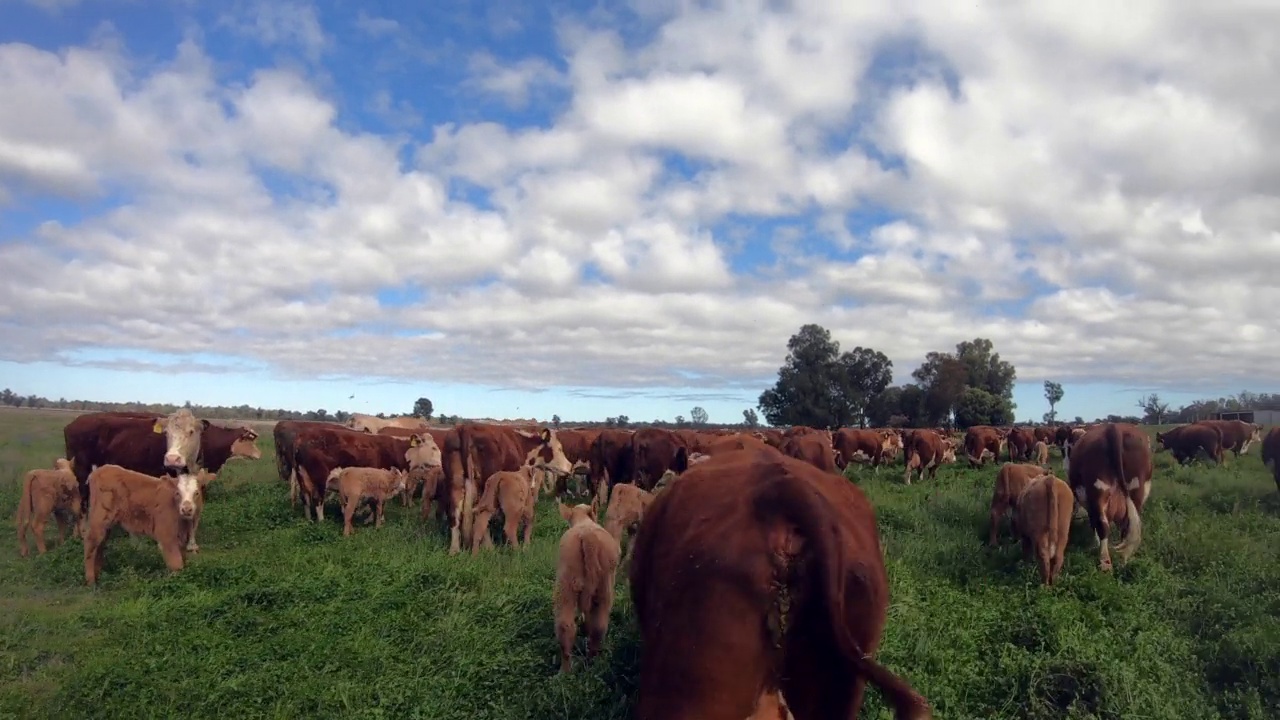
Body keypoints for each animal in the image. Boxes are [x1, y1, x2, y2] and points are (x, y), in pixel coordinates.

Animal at [80, 461, 212, 586]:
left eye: (197, 493)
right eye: (177, 493)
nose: (186, 509)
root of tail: (98, 471)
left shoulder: (182, 538)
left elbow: (183, 560)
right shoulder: (167, 536)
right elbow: (176, 563)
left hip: (107, 524)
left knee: (100, 543)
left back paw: (99, 572)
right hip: (99, 518)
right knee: (91, 541)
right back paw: (91, 581)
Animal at [552, 499, 622, 671]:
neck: (584, 521)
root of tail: (587, 536)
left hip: (570, 584)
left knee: (570, 626)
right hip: (601, 588)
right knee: (595, 626)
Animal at [1059, 420, 1152, 571]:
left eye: (1067, 448)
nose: (1065, 465)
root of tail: (1113, 429)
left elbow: (1094, 523)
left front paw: (1095, 543)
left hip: (1098, 491)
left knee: (1103, 525)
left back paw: (1105, 561)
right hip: (1137, 491)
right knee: (1128, 525)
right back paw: (1123, 557)